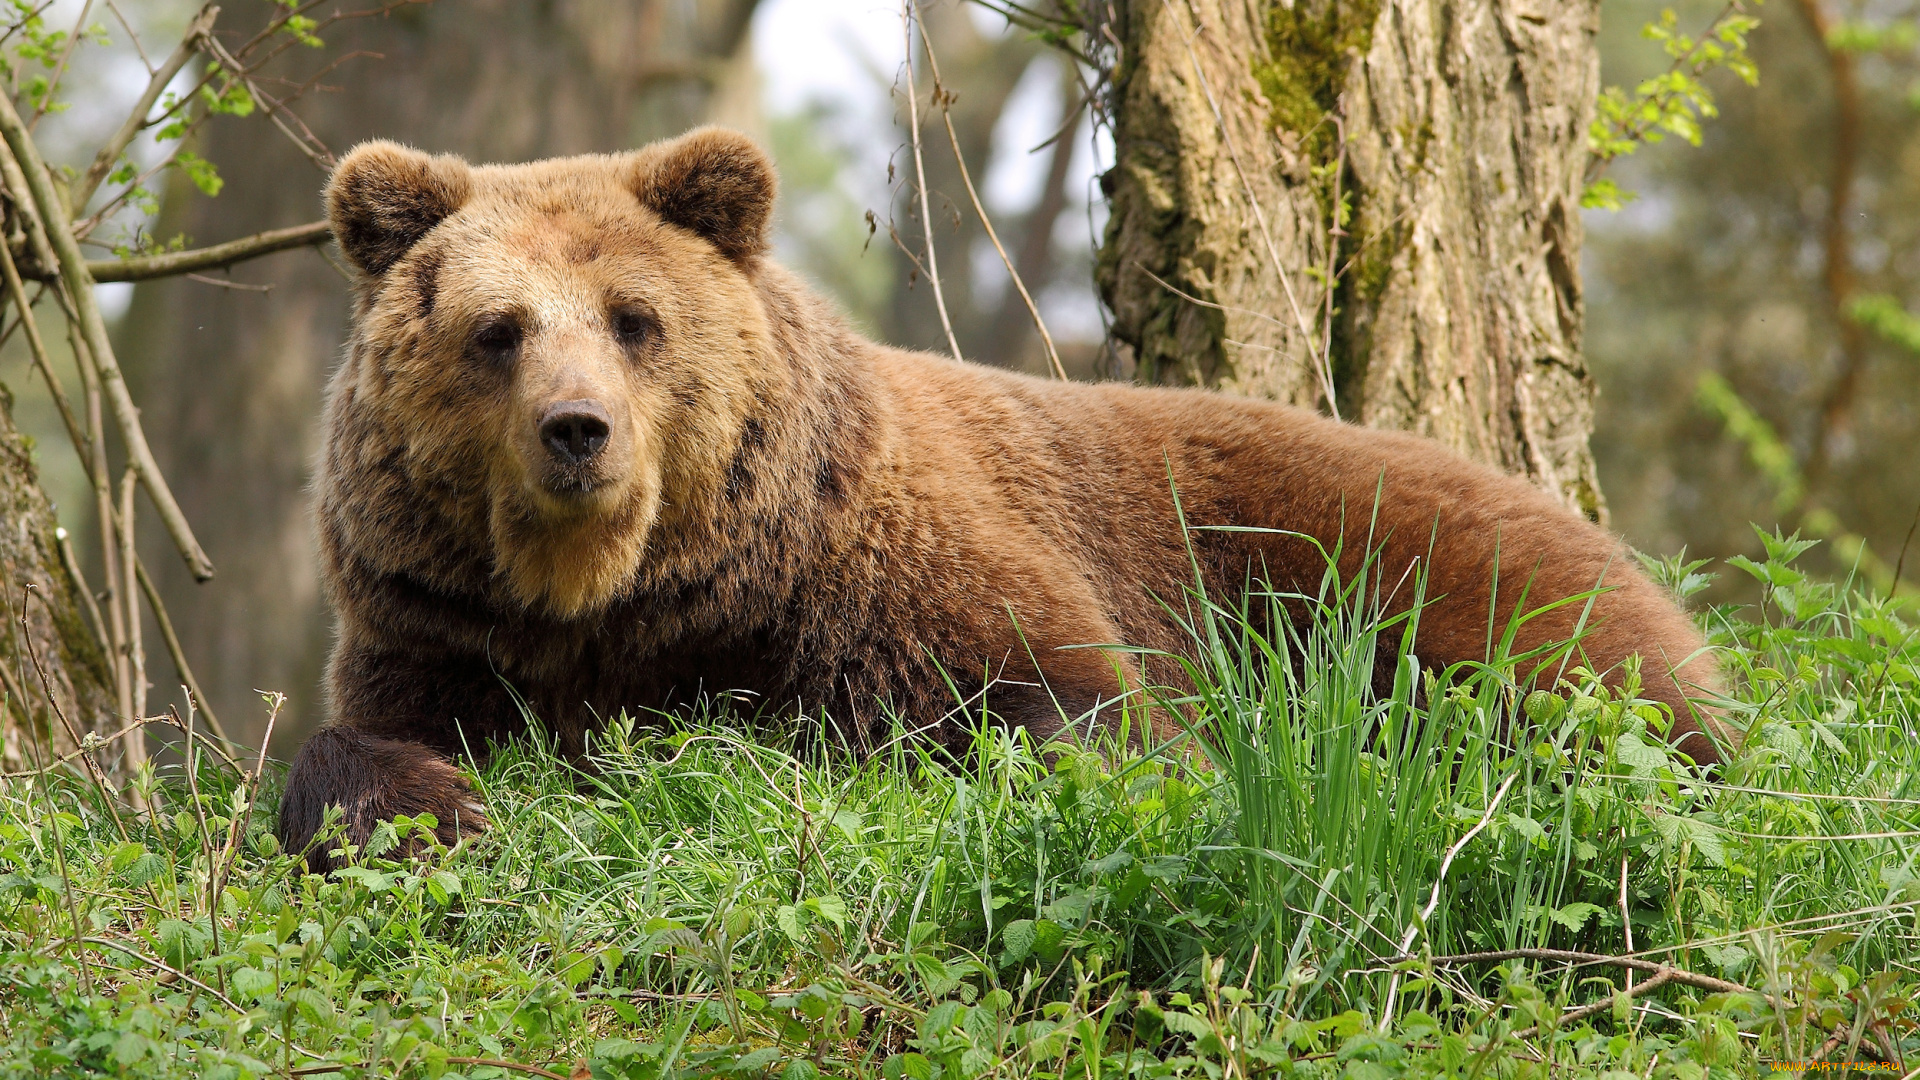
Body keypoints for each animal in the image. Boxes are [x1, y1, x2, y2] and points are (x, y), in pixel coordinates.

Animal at [277, 127, 1731, 873]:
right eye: (497, 329)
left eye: (635, 319)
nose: (577, 432)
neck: (634, 598)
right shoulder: (441, 625)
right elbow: (360, 741)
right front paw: (432, 808)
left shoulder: (874, 576)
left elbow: (1068, 719)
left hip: (1409, 576)